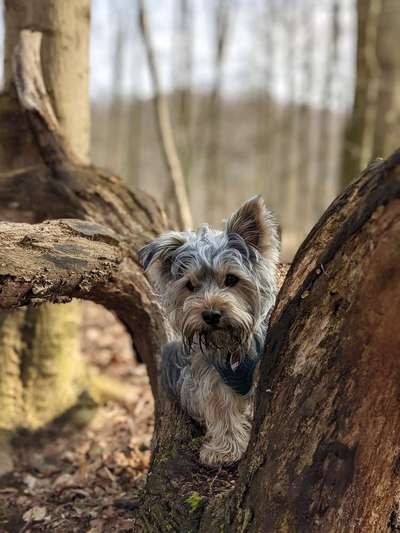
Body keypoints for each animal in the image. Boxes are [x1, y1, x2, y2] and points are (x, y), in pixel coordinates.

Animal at [139, 195, 280, 466]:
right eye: (190, 285)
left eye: (232, 279)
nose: (211, 314)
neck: (230, 342)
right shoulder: (210, 373)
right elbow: (221, 406)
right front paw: (226, 449)